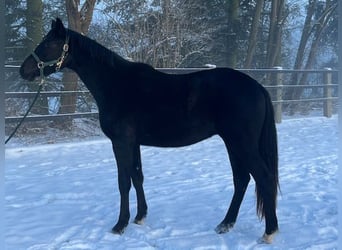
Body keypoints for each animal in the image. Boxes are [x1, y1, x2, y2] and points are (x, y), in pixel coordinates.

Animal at [20, 17, 280, 242]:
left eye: (49, 43)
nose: (23, 70)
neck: (116, 84)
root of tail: (258, 87)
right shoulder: (133, 143)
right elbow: (137, 177)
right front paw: (140, 217)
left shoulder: (121, 142)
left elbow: (123, 181)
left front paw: (120, 225)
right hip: (233, 143)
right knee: (242, 179)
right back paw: (225, 224)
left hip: (241, 143)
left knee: (264, 177)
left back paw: (269, 232)